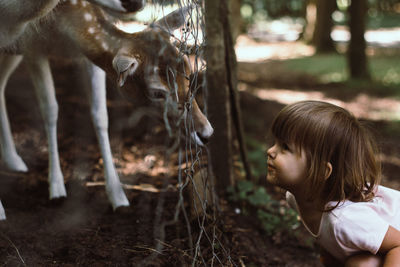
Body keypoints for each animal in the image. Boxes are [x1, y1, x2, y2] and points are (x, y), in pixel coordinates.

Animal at [0, 0, 212, 222]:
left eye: (188, 70)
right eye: (156, 92)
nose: (206, 133)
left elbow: (100, 115)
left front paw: (118, 197)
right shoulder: (32, 47)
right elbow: (50, 110)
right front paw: (56, 188)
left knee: (1, 83)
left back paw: (14, 160)